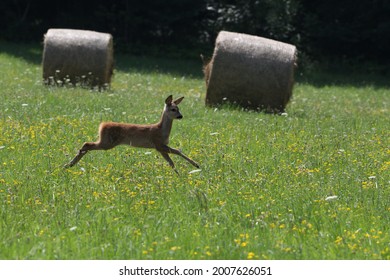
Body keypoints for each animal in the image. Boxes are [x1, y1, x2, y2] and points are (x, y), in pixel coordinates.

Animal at [64, 94, 200, 173]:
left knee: (86, 145)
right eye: (173, 109)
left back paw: (69, 165)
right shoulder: (158, 144)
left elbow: (171, 162)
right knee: (86, 144)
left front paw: (178, 174)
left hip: (106, 141)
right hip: (107, 142)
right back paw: (69, 164)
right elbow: (178, 151)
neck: (161, 130)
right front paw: (196, 165)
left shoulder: (160, 148)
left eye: (178, 108)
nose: (180, 116)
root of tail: (102, 125)